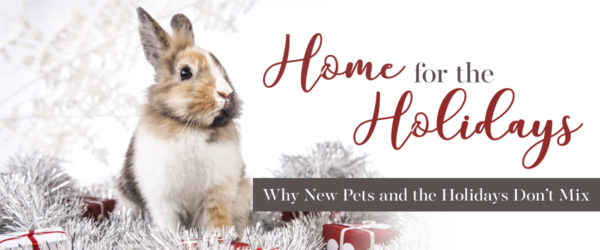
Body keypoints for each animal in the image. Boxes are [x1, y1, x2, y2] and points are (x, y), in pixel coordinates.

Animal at [117, 6, 251, 232]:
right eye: (185, 72)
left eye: (223, 68)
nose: (226, 93)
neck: (192, 126)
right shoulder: (164, 200)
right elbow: (169, 226)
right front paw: (169, 237)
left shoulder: (217, 195)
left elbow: (218, 222)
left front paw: (222, 237)